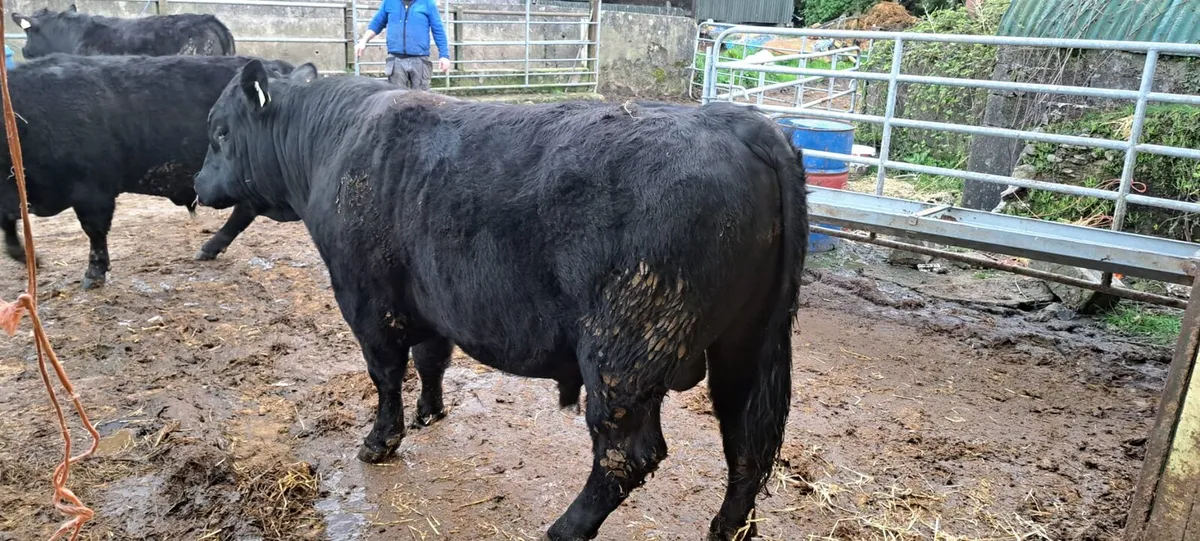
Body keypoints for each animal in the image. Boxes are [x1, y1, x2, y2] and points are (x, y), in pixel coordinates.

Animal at [0, 54, 302, 289]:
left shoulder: (92, 191)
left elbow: (94, 231)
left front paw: (93, 274)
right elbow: (7, 222)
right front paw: (28, 257)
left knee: (245, 210)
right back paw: (208, 249)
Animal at [194, 61, 809, 540]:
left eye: (220, 133)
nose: (198, 186)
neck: (334, 143)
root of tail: (740, 122)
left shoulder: (365, 297)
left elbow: (386, 373)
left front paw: (380, 441)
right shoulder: (431, 299)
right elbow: (431, 359)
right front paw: (430, 413)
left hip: (623, 353)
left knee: (627, 452)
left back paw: (564, 528)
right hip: (746, 347)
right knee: (746, 444)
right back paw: (726, 529)